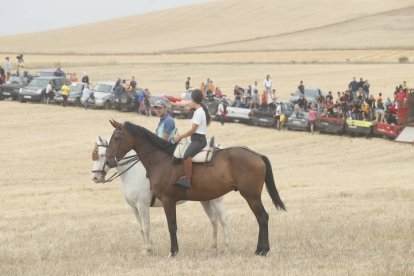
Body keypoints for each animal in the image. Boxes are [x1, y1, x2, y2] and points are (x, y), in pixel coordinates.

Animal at [91, 136, 230, 254]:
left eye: (102, 155)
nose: (95, 177)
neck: (133, 172)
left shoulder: (142, 205)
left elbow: (146, 226)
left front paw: (148, 249)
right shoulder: (134, 207)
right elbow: (141, 228)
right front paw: (146, 247)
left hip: (216, 199)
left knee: (223, 220)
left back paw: (226, 247)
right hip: (205, 199)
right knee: (213, 220)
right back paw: (212, 247)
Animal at [105, 119, 284, 256]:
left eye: (117, 137)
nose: (108, 161)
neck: (161, 160)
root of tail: (256, 155)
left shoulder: (167, 201)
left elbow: (171, 226)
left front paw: (173, 251)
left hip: (251, 196)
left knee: (262, 218)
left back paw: (262, 250)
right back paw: (259, 250)